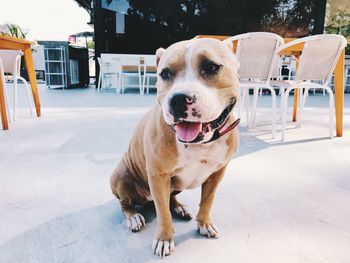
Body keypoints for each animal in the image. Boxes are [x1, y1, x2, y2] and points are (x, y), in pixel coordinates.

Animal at [110, 38, 241, 258]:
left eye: (212, 67)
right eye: (164, 74)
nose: (179, 99)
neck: (199, 144)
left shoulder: (218, 172)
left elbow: (208, 200)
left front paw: (204, 223)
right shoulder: (158, 175)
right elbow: (163, 213)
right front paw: (164, 239)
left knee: (170, 198)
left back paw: (181, 208)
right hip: (120, 176)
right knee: (125, 203)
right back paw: (134, 217)